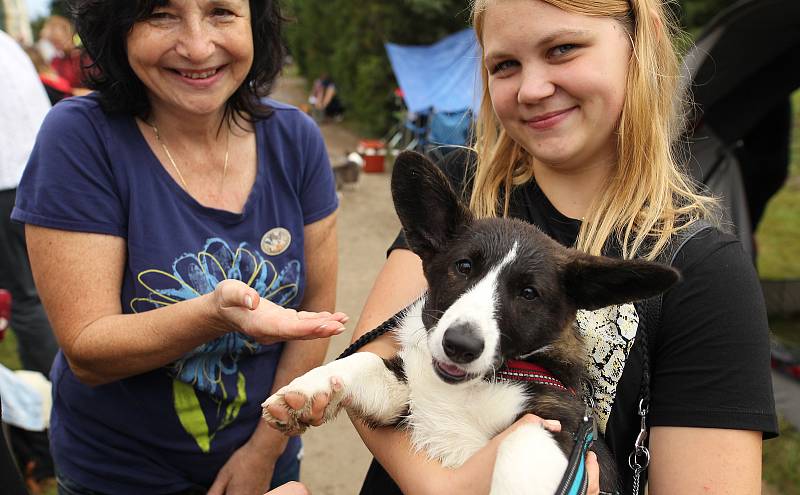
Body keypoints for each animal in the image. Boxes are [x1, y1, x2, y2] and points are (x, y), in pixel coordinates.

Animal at [260, 152, 676, 495]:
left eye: (528, 293)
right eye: (463, 267)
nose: (459, 345)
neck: (471, 388)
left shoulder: (564, 430)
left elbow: (520, 444)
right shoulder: (406, 398)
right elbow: (365, 362)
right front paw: (305, 391)